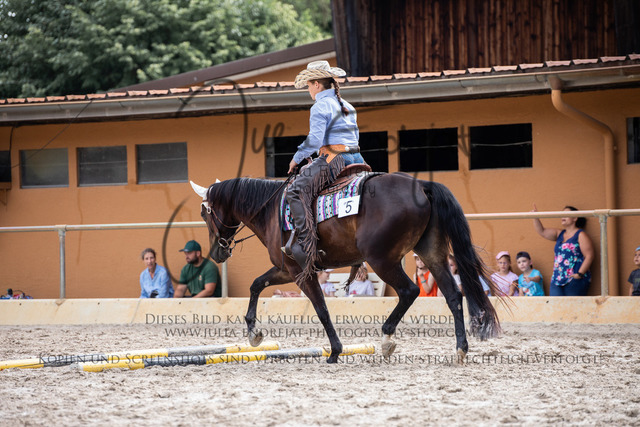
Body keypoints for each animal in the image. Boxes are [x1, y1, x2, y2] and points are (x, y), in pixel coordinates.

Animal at [190, 172, 500, 363]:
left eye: (205, 212)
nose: (217, 252)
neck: (270, 210)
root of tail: (422, 185)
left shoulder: (300, 273)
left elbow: (321, 309)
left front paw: (335, 352)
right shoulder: (285, 269)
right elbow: (256, 284)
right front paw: (254, 333)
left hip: (382, 259)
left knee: (409, 291)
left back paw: (387, 338)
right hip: (432, 253)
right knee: (453, 295)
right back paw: (460, 349)